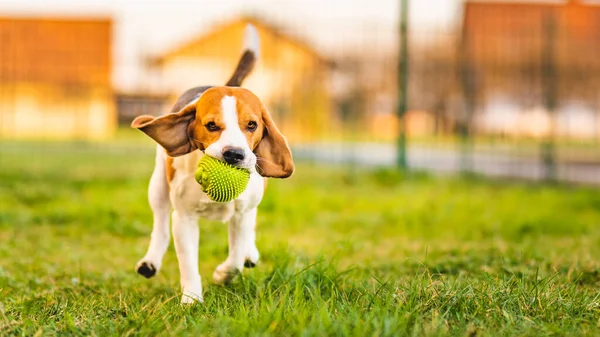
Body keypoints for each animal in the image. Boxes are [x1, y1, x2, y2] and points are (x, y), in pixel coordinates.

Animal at [131, 23, 292, 302]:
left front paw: (222, 275)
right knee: (160, 224)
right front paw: (191, 299)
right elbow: (188, 264)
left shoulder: (241, 213)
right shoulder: (184, 219)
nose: (234, 154)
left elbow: (236, 257)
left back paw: (250, 253)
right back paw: (150, 262)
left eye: (252, 125)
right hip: (158, 185)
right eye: (211, 125)